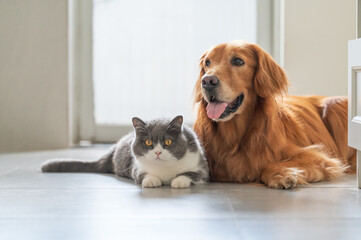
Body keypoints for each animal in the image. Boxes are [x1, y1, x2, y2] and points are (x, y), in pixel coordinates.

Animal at [40, 115, 208, 188]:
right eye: (148, 142)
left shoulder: (202, 167)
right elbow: (143, 175)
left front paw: (179, 181)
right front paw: (152, 180)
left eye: (168, 142)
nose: (158, 153)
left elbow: (192, 174)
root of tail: (113, 148)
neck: (165, 171)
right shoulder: (136, 167)